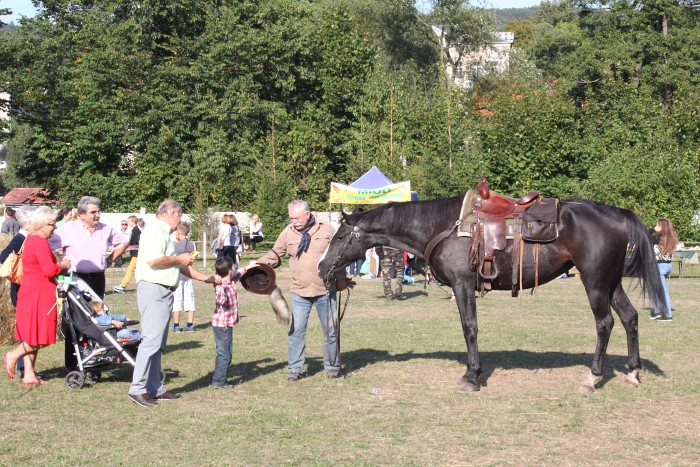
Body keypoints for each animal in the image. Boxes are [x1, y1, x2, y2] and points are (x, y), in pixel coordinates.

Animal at [318, 196, 668, 394]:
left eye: (340, 235)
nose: (322, 267)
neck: (442, 227)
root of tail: (617, 213)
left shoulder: (462, 285)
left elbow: (469, 328)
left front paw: (472, 376)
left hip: (595, 281)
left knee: (605, 323)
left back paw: (592, 378)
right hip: (611, 282)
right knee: (630, 318)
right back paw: (633, 373)